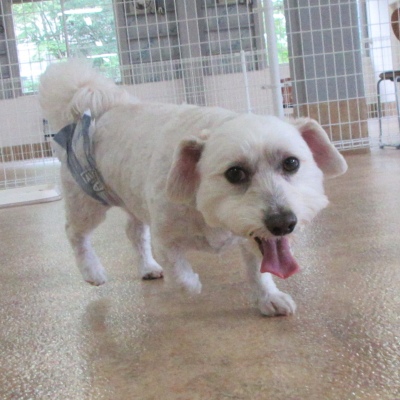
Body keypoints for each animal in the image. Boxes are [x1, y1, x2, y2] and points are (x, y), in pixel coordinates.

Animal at [39, 59, 347, 317]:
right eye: (234, 173)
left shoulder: (252, 240)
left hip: (131, 197)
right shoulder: (165, 238)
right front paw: (193, 285)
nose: (282, 223)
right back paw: (92, 271)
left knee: (134, 233)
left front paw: (268, 298)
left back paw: (147, 266)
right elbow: (181, 275)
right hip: (87, 203)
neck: (205, 207)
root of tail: (103, 108)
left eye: (291, 163)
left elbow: (259, 272)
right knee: (75, 234)